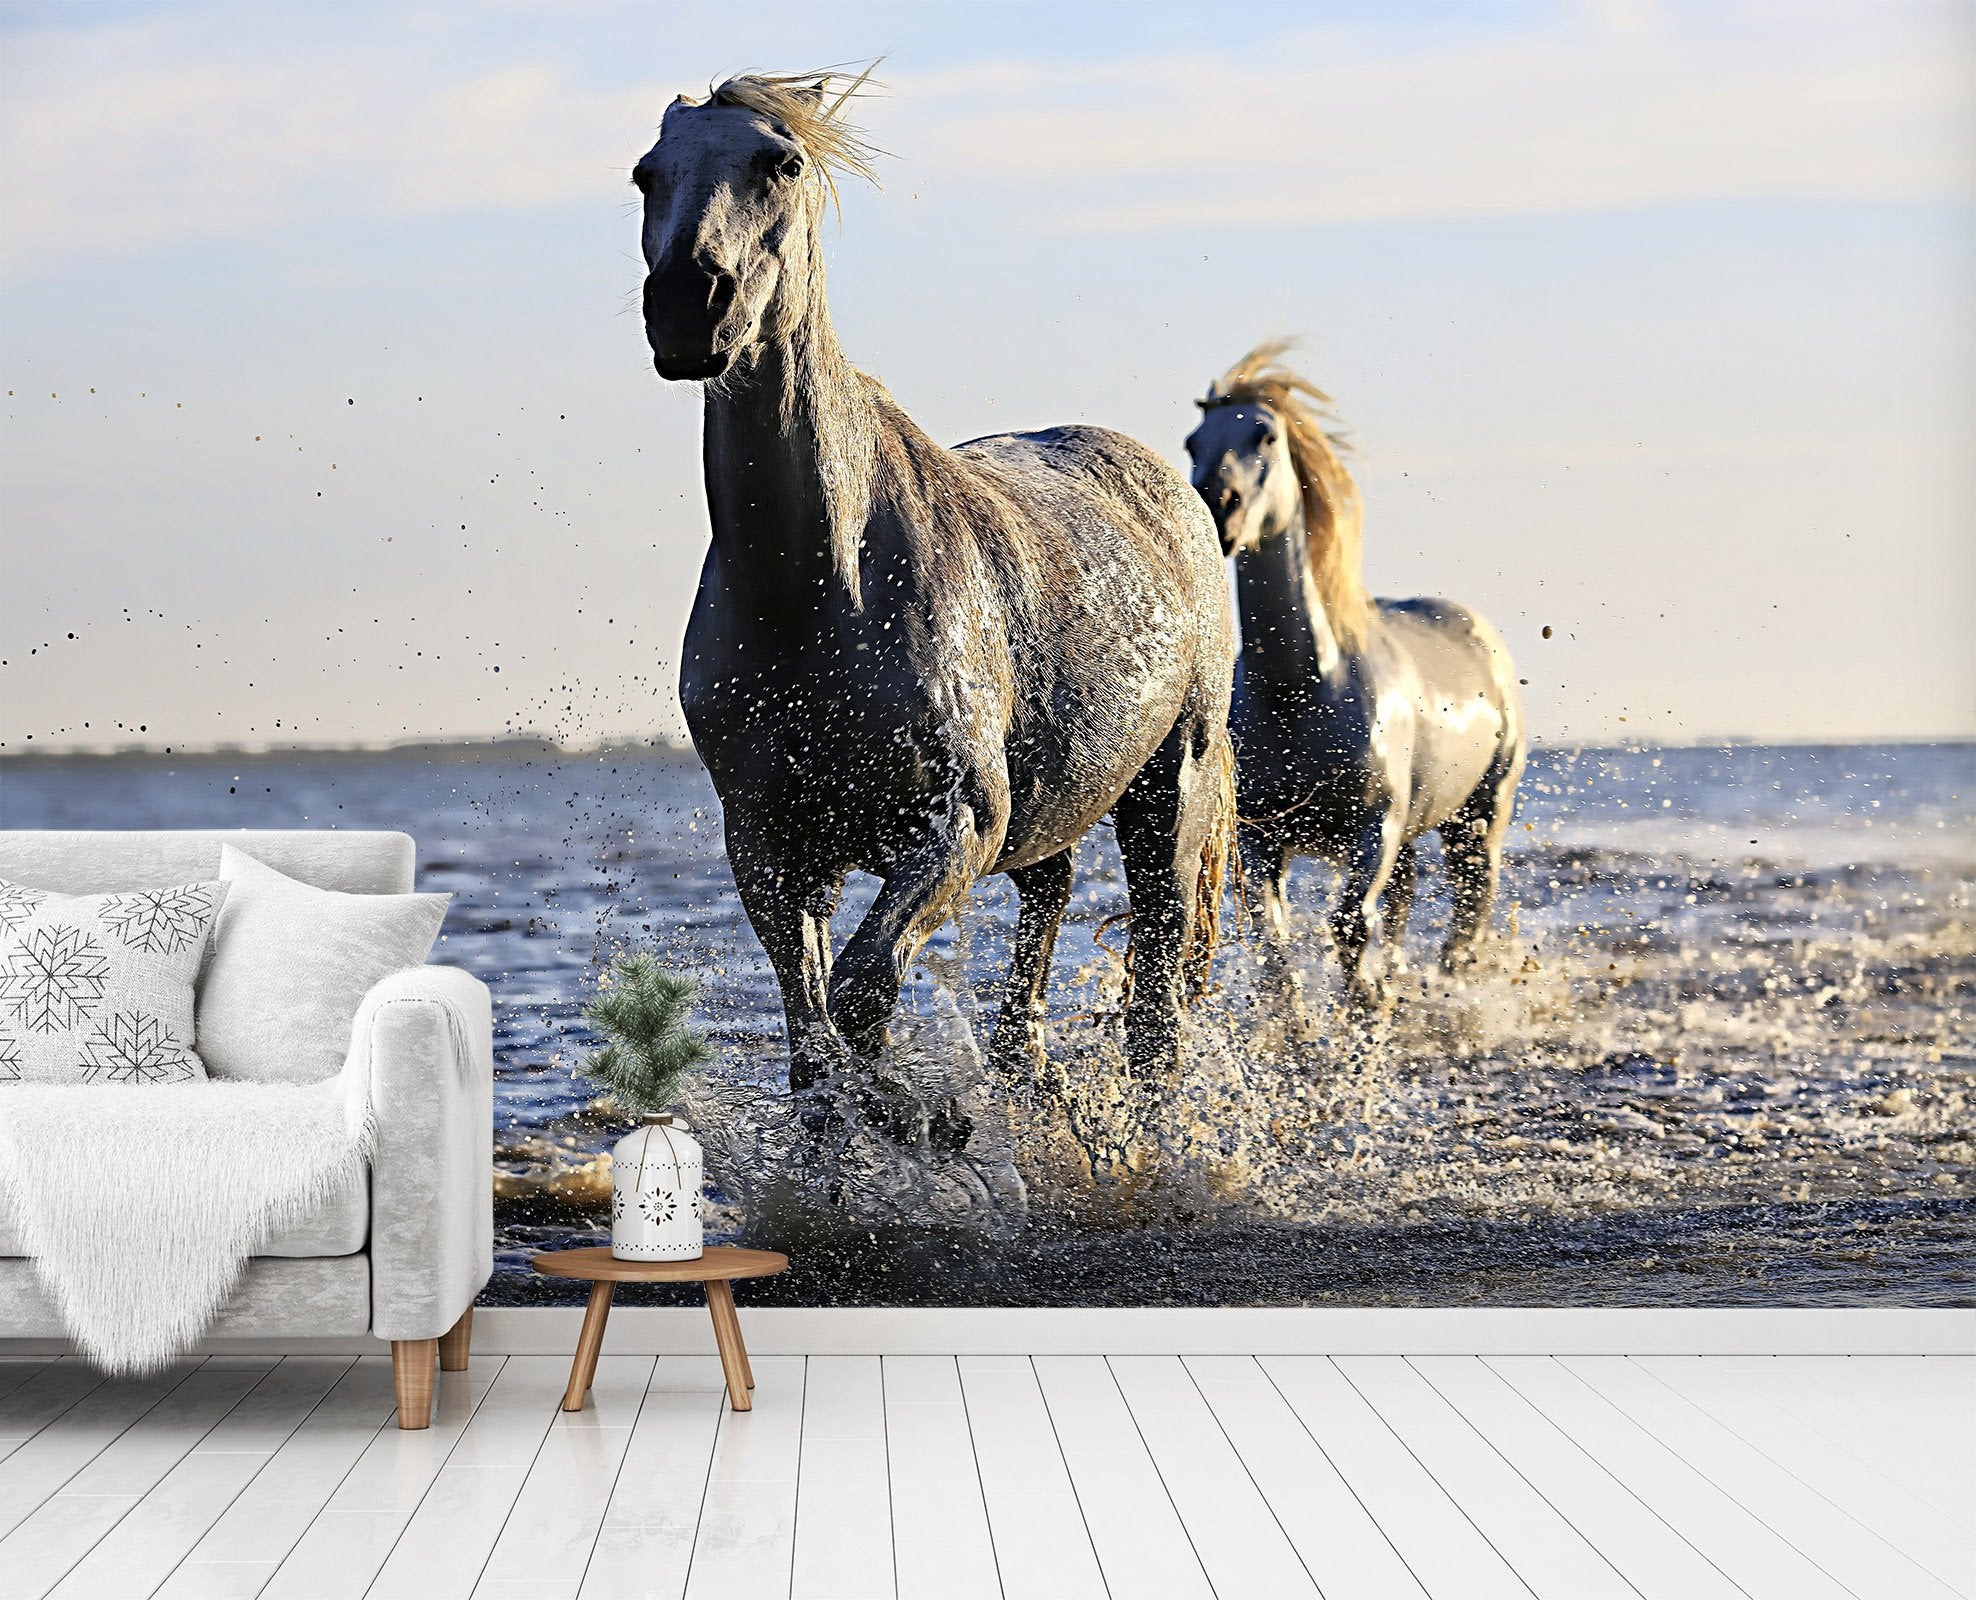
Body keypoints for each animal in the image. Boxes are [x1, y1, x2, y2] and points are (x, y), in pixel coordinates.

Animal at [634, 70, 1235, 1142]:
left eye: (781, 163)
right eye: (645, 173)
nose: (688, 307)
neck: (816, 591)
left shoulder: (953, 823)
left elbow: (865, 993)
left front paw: (919, 1126)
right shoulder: (773, 848)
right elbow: (815, 1043)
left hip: (1171, 796)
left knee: (1158, 1004)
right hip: (1055, 811)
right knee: (1044, 925)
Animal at [1183, 342, 1524, 1020]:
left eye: (1265, 435)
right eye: (1193, 443)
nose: (1217, 504)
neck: (1302, 690)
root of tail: (1480, 634)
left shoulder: (1375, 827)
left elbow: (1349, 927)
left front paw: (1364, 1008)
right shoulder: (1265, 838)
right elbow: (1274, 938)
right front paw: (1297, 1027)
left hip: (1479, 815)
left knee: (1469, 909)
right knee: (1405, 901)